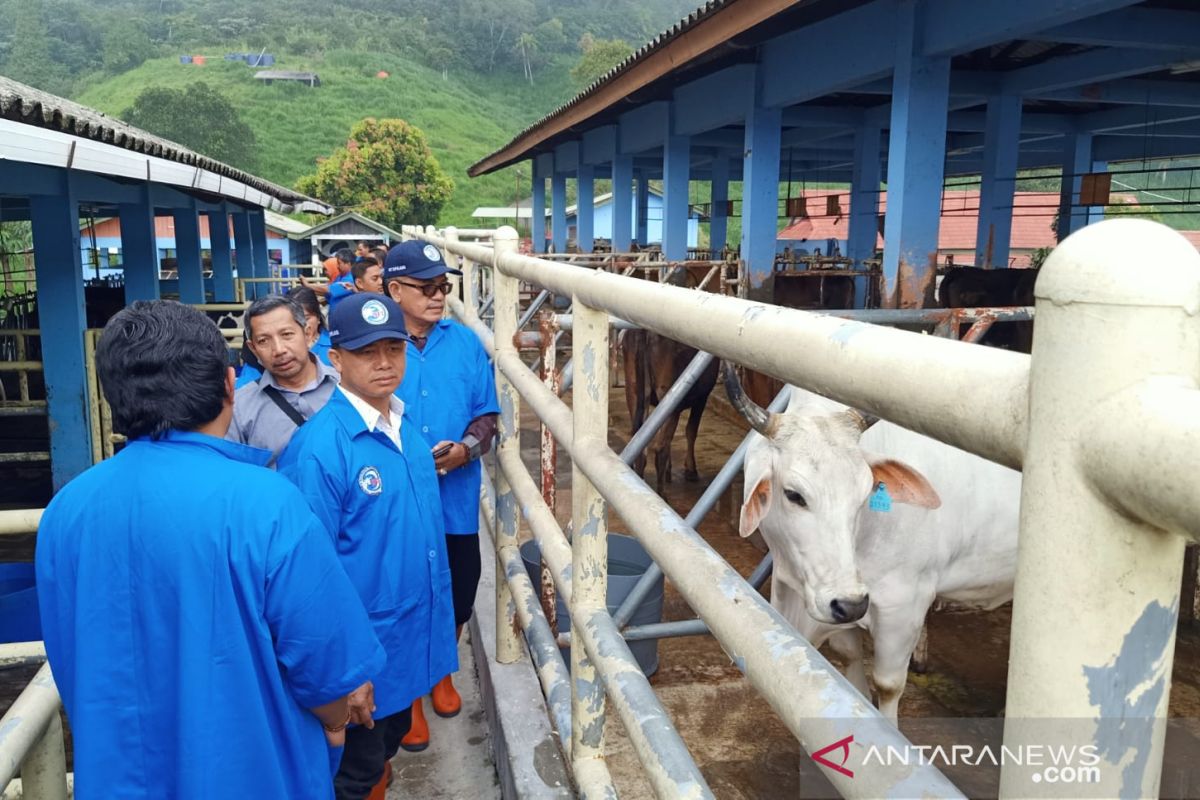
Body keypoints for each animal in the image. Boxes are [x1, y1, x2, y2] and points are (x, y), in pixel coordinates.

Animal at [724, 369, 1017, 719]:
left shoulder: (904, 605)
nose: (850, 603)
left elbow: (887, 685)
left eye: (866, 494)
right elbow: (849, 657)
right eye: (794, 495)